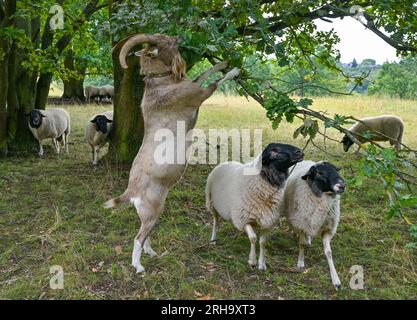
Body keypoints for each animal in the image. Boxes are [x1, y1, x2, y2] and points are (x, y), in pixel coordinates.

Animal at [103, 32, 240, 274]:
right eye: (165, 41)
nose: (178, 37)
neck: (161, 84)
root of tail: (132, 192)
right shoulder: (199, 95)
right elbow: (213, 82)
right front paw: (234, 70)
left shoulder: (193, 86)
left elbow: (205, 74)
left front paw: (223, 63)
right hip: (152, 211)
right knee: (138, 238)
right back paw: (138, 267)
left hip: (153, 213)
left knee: (146, 236)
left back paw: (152, 253)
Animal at [205, 142, 302, 270]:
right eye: (274, 150)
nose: (299, 152)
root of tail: (225, 162)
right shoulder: (243, 218)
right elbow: (253, 238)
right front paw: (252, 260)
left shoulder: (267, 220)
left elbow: (262, 242)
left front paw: (262, 264)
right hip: (211, 203)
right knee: (215, 221)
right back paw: (213, 239)